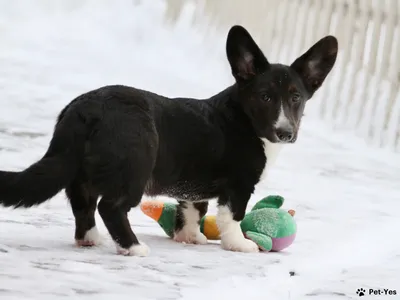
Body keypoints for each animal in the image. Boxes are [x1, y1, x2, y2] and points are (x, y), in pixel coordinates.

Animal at [0, 25, 338, 255]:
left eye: (296, 98)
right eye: (265, 97)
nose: (286, 133)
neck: (245, 118)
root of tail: (86, 108)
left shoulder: (193, 188)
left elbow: (193, 210)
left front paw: (190, 237)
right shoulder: (239, 186)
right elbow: (232, 217)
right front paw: (239, 244)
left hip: (80, 173)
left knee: (83, 205)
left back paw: (90, 240)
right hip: (135, 167)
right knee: (111, 207)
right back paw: (133, 248)